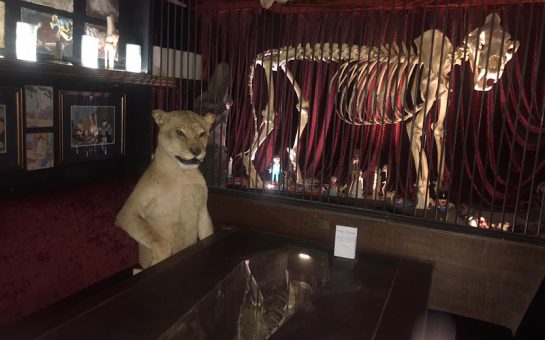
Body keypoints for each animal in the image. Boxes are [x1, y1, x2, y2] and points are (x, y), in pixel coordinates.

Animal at [116, 109, 215, 268]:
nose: (196, 150)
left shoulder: (202, 209)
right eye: (180, 133)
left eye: (202, 134)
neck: (181, 174)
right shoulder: (128, 212)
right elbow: (161, 243)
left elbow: (208, 233)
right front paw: (157, 261)